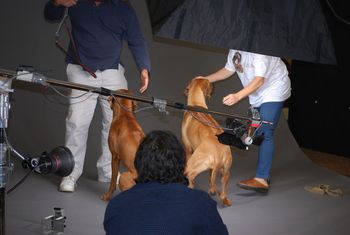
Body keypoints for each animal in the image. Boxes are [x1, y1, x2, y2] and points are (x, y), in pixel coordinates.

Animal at [183, 78, 232, 206]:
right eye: (209, 82)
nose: (214, 84)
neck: (196, 104)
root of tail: (219, 154)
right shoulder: (212, 169)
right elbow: (211, 177)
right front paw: (211, 188)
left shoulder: (188, 149)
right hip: (226, 170)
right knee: (223, 189)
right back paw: (225, 199)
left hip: (193, 165)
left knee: (190, 177)